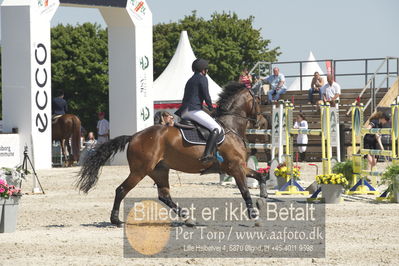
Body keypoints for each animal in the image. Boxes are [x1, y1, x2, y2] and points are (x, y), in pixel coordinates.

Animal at [76, 82, 268, 227]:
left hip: (159, 170)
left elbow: (260, 177)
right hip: (140, 171)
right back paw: (115, 220)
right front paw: (255, 217)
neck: (230, 127)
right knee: (122, 190)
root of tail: (134, 136)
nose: (262, 121)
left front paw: (263, 198)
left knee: (164, 196)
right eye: (259, 99)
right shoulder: (235, 168)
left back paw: (188, 219)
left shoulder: (238, 166)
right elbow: (245, 191)